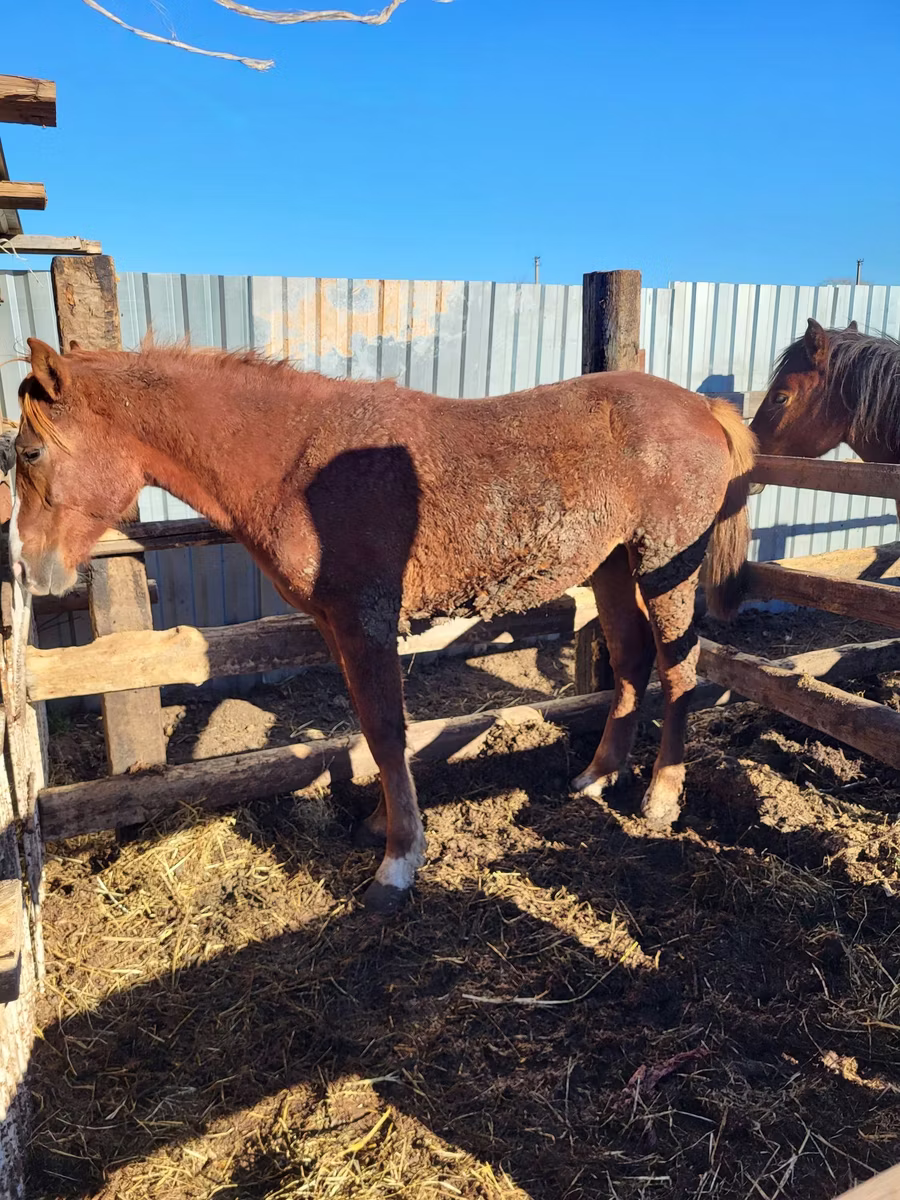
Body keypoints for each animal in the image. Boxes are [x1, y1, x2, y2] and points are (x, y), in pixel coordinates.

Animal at [8, 337, 755, 913]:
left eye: (31, 453)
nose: (29, 567)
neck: (296, 462)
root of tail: (700, 406)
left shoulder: (365, 619)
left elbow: (389, 731)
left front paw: (399, 862)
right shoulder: (336, 626)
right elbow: (372, 730)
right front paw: (381, 824)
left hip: (665, 566)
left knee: (680, 671)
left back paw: (660, 798)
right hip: (612, 565)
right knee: (630, 663)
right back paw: (598, 775)